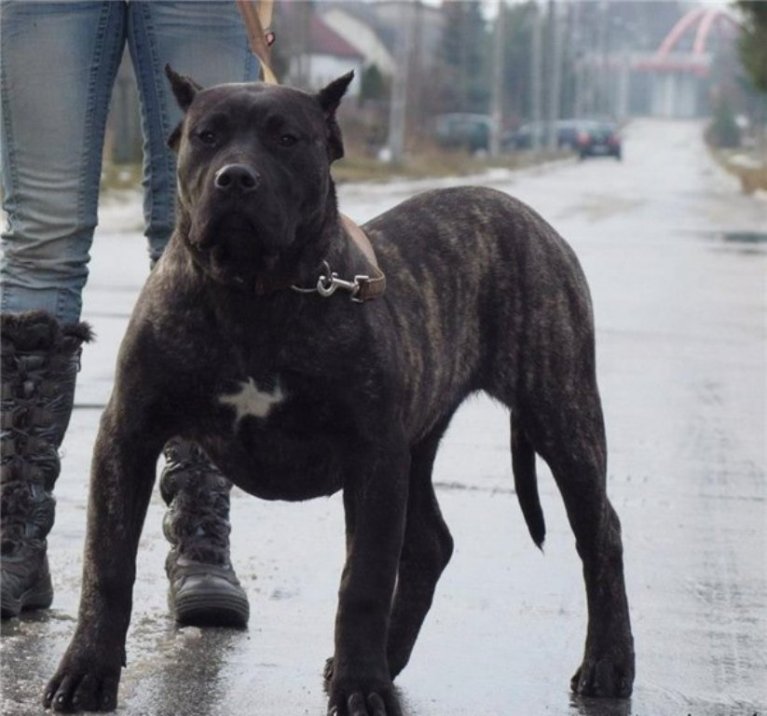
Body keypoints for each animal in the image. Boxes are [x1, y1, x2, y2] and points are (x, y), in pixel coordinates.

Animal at [44, 68, 634, 715]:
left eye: (286, 139)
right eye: (207, 135)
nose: (236, 178)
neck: (253, 291)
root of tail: (520, 210)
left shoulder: (372, 457)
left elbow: (364, 581)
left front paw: (361, 687)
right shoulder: (128, 436)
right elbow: (107, 563)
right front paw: (86, 671)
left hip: (561, 415)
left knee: (599, 535)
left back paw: (606, 664)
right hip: (418, 446)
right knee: (430, 544)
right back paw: (390, 659)